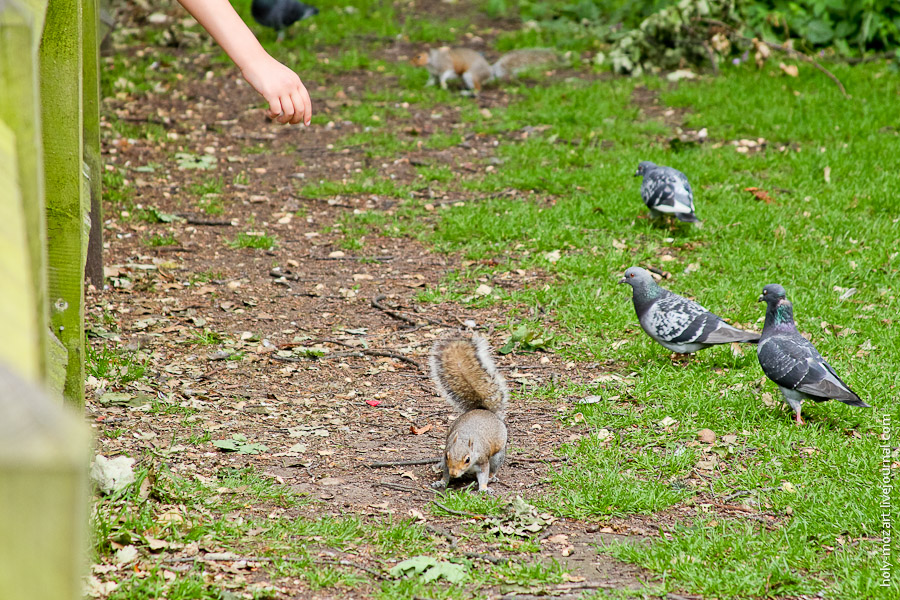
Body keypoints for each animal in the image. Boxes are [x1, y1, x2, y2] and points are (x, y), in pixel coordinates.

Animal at [412, 47, 560, 92]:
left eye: (418, 56)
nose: (411, 63)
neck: (431, 61)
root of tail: (490, 71)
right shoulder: (433, 74)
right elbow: (432, 80)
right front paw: (426, 86)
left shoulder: (445, 66)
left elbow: (445, 75)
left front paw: (443, 85)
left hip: (470, 75)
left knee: (478, 89)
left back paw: (467, 93)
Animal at [430, 336, 510, 490]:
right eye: (447, 456)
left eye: (467, 459)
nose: (454, 473)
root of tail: (482, 409)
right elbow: (445, 474)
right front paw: (441, 481)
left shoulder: (482, 461)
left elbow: (484, 474)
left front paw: (484, 488)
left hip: (497, 455)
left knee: (494, 467)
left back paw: (493, 477)